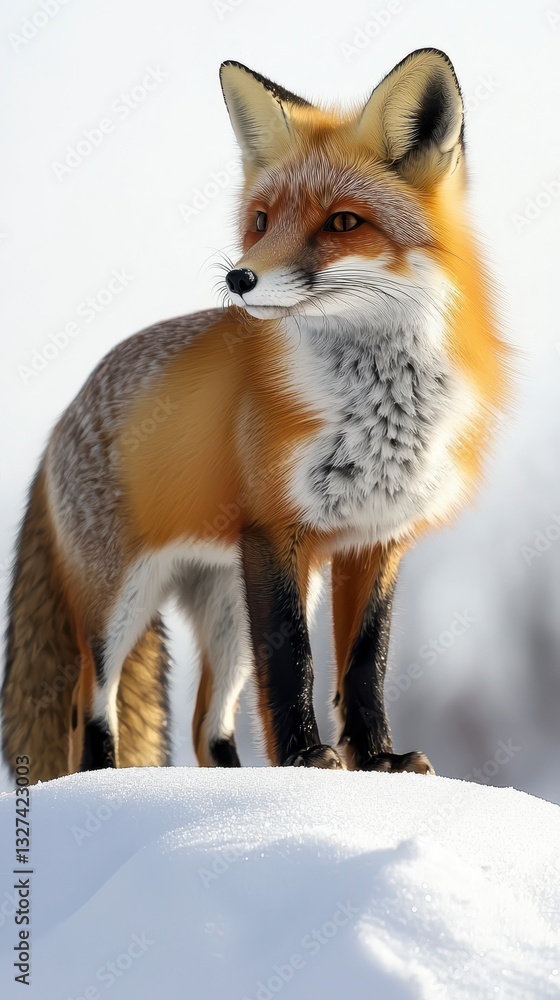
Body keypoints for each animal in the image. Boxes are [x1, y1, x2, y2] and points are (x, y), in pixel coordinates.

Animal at [2, 49, 509, 783]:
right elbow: (293, 661)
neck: (379, 410)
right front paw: (304, 759)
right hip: (118, 601)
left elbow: (364, 666)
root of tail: (62, 420)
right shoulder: (276, 533)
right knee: (91, 708)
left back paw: (235, 783)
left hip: (225, 607)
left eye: (343, 223)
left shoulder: (374, 541)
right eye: (263, 221)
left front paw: (377, 759)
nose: (239, 278)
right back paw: (116, 779)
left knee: (204, 723)